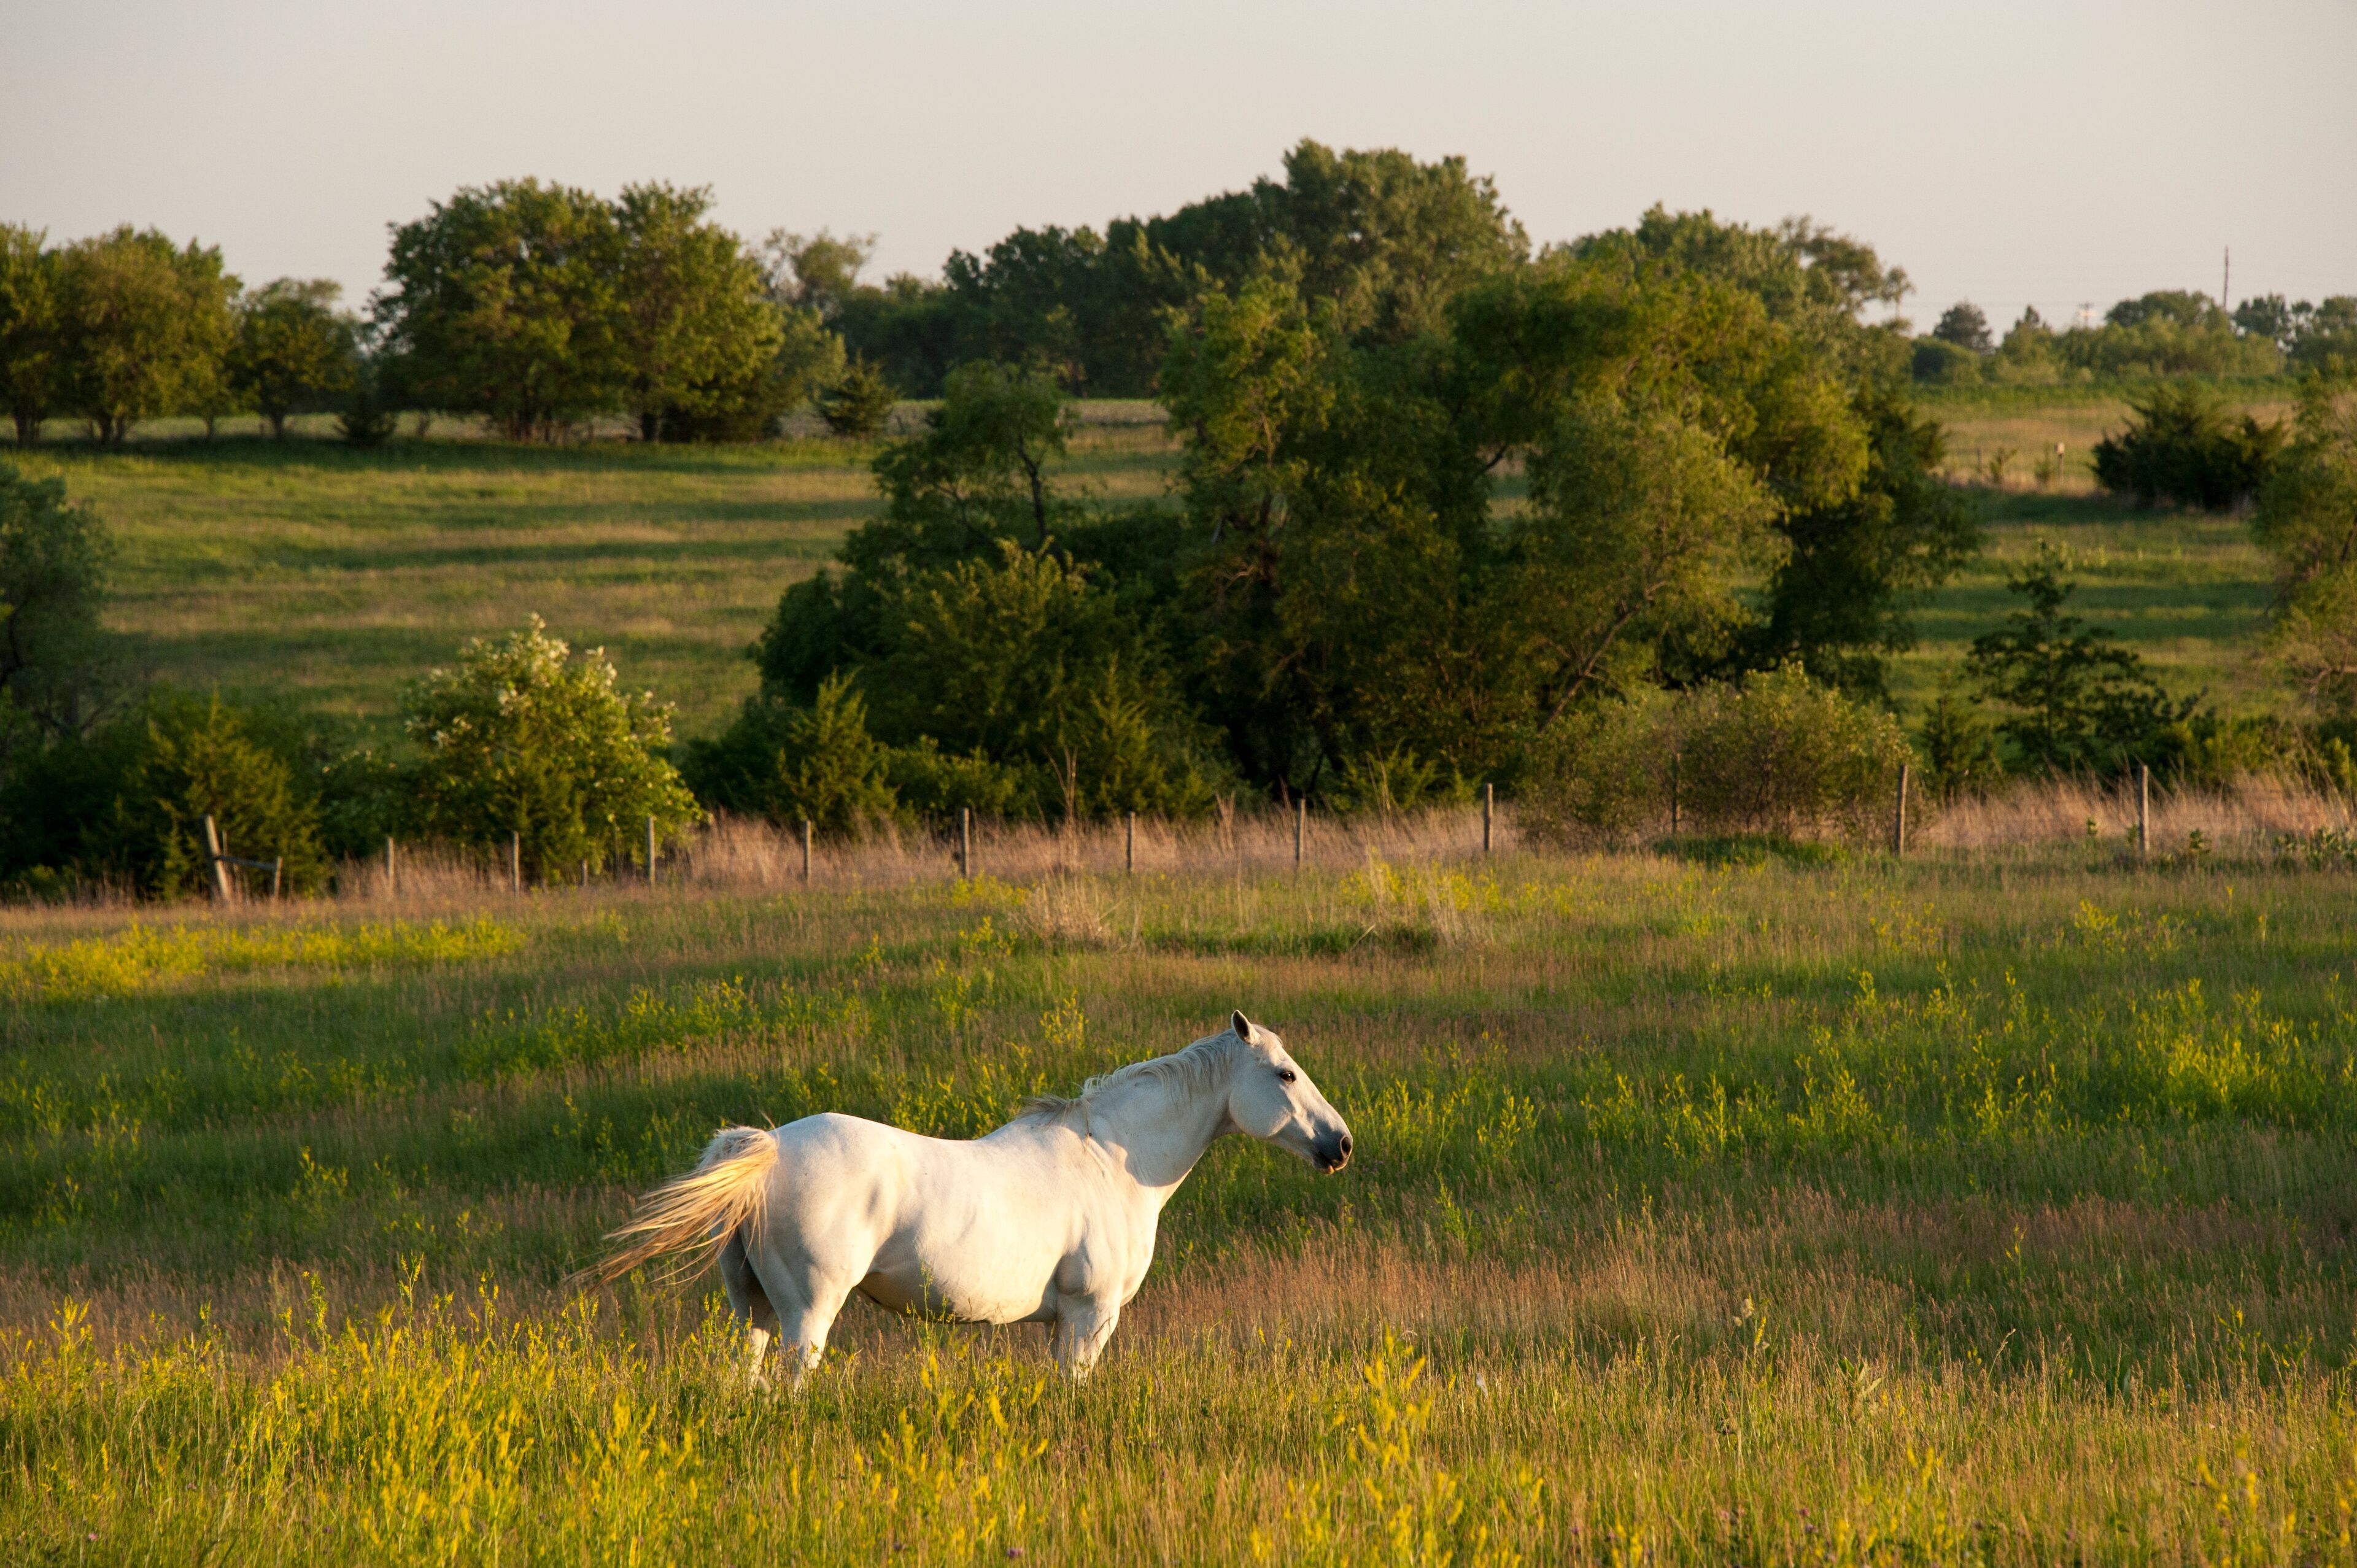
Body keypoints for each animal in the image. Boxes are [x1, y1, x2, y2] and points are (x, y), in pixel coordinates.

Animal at [585, 1010, 1353, 1386]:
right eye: (1285, 1074)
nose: (1340, 1144)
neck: (1112, 1161)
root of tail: (767, 1149)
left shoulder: (1060, 1325)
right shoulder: (1090, 1318)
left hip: (754, 1309)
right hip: (809, 1311)